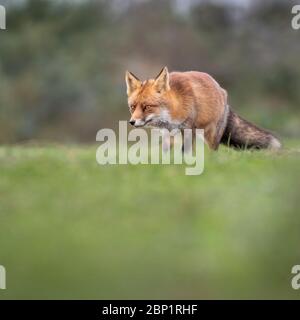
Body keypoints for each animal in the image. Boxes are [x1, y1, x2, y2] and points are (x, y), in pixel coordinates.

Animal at [125, 67, 282, 150]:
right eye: (132, 107)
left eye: (146, 107)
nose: (132, 122)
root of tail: (222, 90)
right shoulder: (166, 132)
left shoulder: (188, 129)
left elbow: (185, 151)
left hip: (210, 134)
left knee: (214, 151)